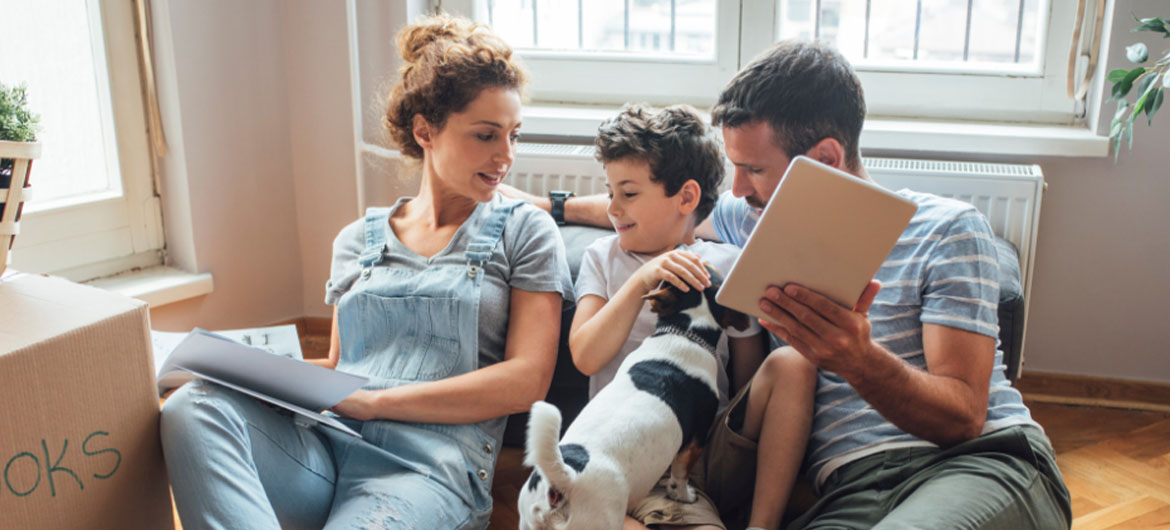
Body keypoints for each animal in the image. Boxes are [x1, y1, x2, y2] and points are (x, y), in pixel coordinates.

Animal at [519, 269, 748, 528]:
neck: (687, 333)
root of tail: (565, 479)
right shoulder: (695, 441)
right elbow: (680, 474)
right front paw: (683, 495)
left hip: (527, 520)